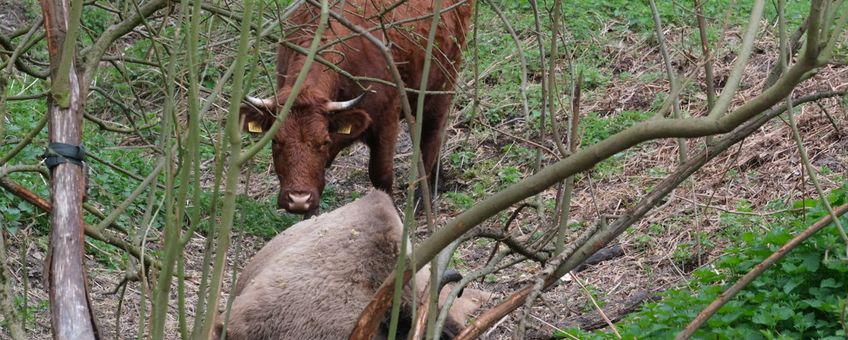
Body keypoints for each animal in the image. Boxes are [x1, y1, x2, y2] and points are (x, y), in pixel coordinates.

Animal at [242, 0, 474, 215]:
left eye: (323, 142)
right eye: (275, 141)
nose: (298, 199)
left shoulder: (386, 123)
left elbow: (381, 176)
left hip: (442, 83)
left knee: (432, 135)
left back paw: (421, 200)